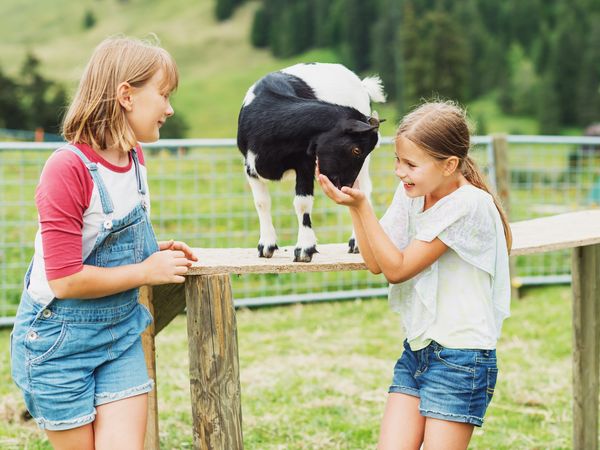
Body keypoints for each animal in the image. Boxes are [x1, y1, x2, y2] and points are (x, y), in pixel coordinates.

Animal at [237, 61, 386, 262]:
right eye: (356, 150)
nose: (344, 186)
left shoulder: (305, 164)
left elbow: (302, 203)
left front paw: (304, 248)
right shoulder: (250, 166)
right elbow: (262, 202)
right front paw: (266, 245)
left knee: (364, 189)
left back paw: (355, 242)